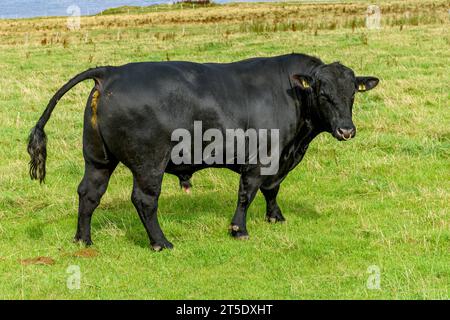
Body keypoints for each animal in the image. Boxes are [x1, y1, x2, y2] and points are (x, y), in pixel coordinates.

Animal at [27, 53, 380, 251]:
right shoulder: (260, 157)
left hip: (98, 158)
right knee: (144, 200)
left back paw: (83, 239)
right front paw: (239, 230)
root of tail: (111, 71)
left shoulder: (278, 159)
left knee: (89, 193)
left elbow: (272, 189)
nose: (347, 130)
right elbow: (248, 193)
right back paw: (161, 243)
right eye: (322, 93)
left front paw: (275, 217)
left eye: (352, 93)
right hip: (149, 163)